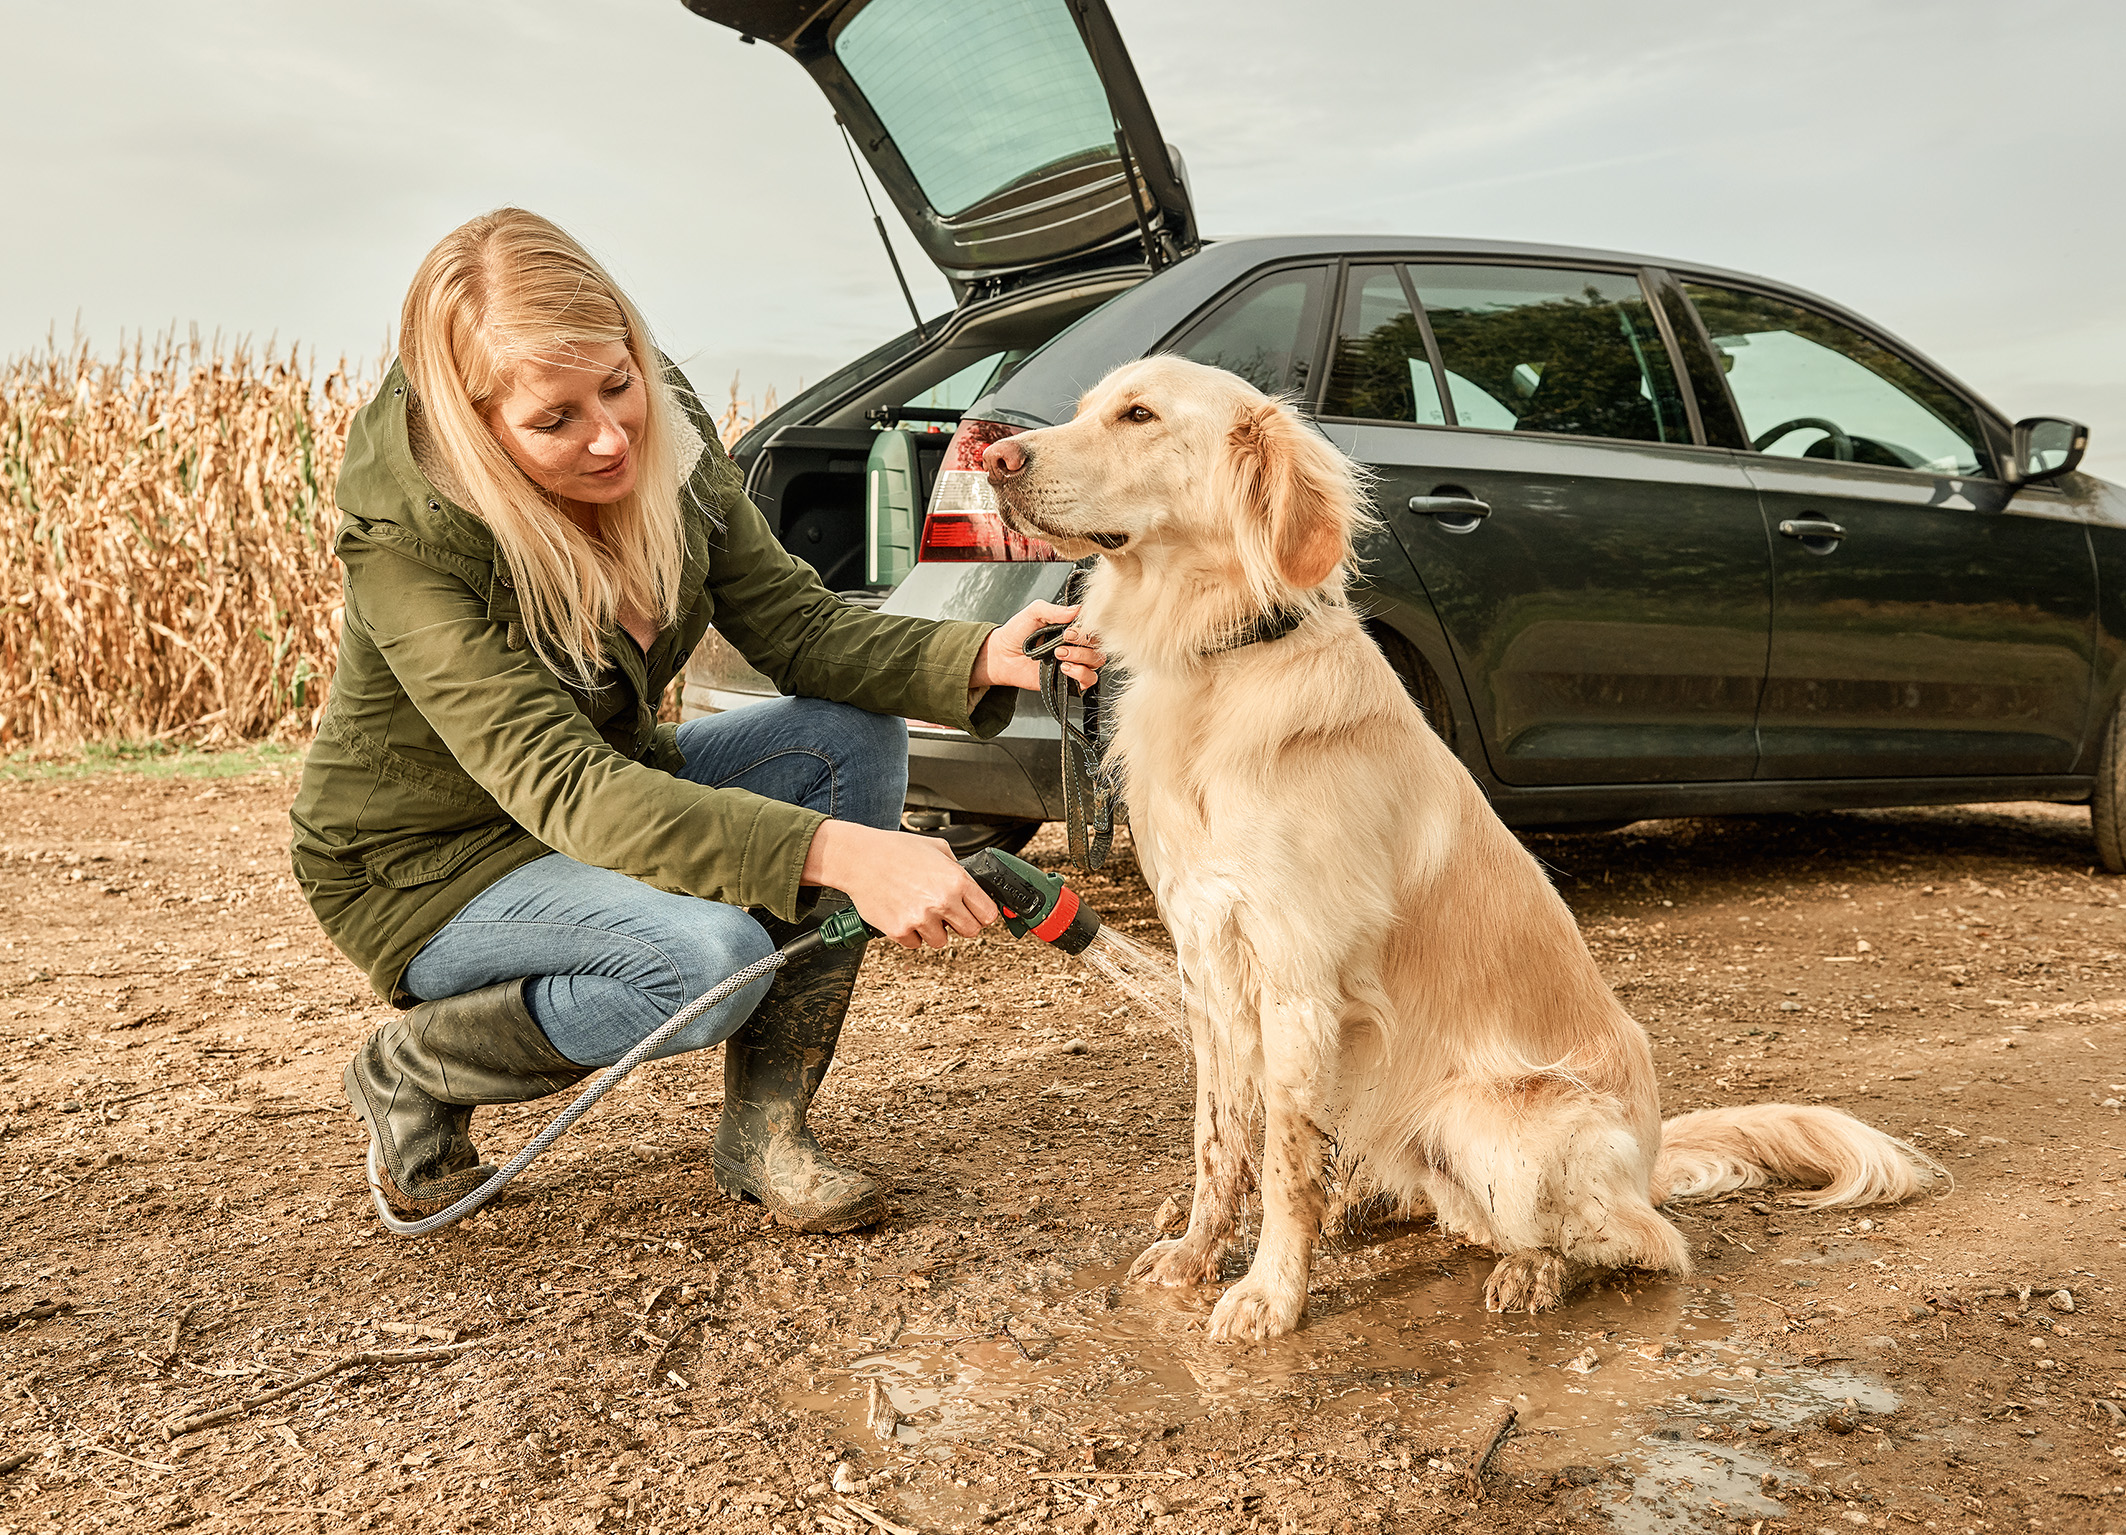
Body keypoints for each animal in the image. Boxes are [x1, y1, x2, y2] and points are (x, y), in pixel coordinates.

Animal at [977, 352, 1947, 1335]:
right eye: (1087, 407)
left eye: (1139, 415)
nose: (992, 457)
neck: (1221, 662)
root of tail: (1649, 1157)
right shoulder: (1207, 966)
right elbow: (1221, 1148)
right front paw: (1194, 1255)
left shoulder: (1297, 982)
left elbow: (1283, 1166)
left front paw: (1269, 1293)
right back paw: (1378, 1204)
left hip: (1502, 1121)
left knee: (1646, 1241)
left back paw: (1535, 1269)